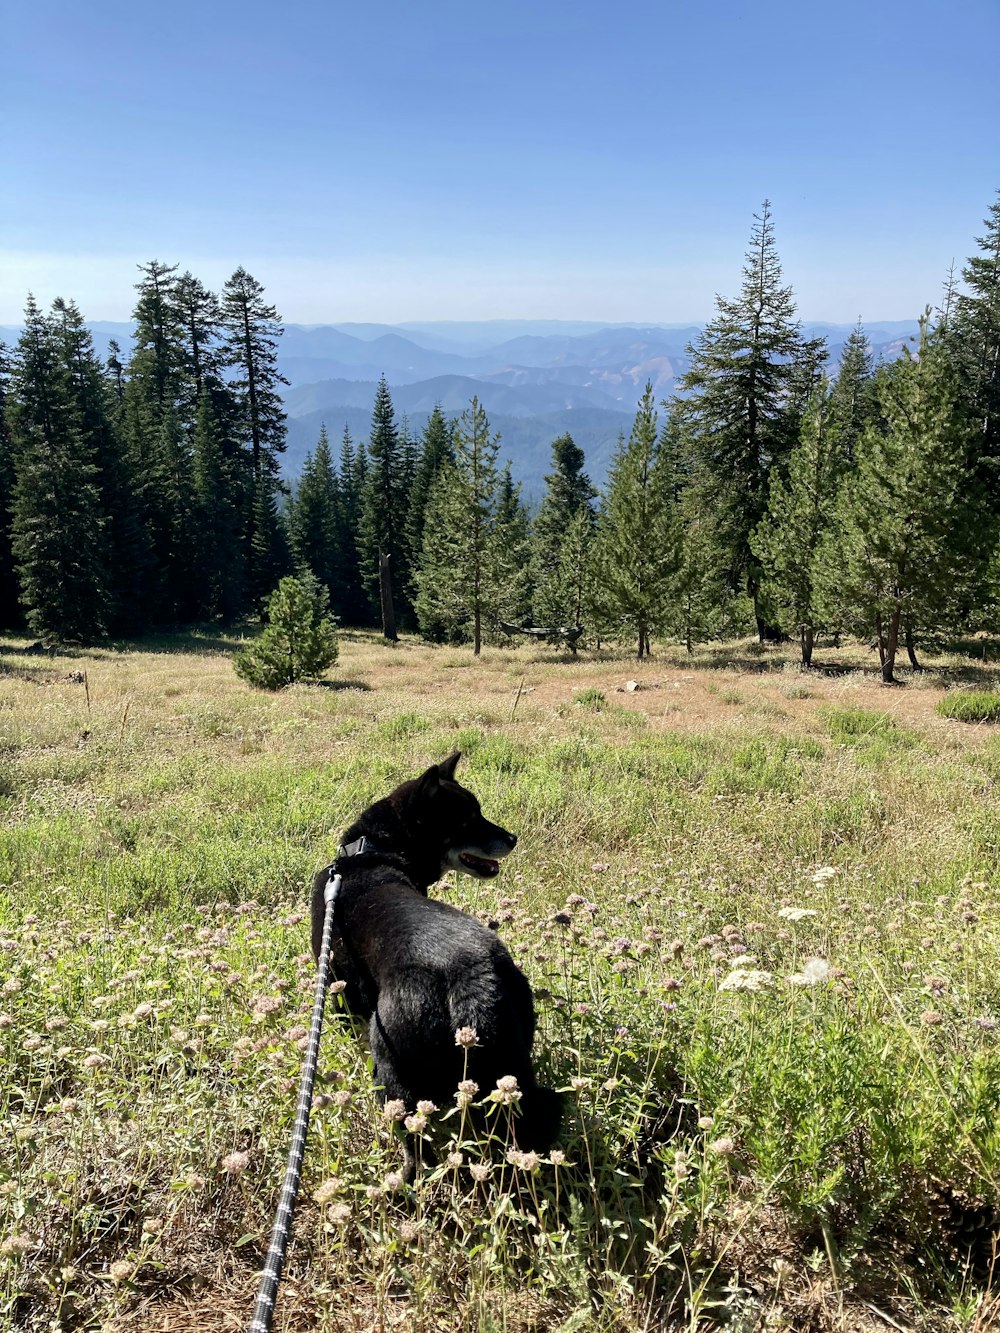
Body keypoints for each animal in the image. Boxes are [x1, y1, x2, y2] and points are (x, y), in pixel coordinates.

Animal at [313, 757, 565, 1173]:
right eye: (466, 821)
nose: (513, 838)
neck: (369, 853)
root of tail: (468, 981)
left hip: (393, 1074)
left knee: (415, 1147)